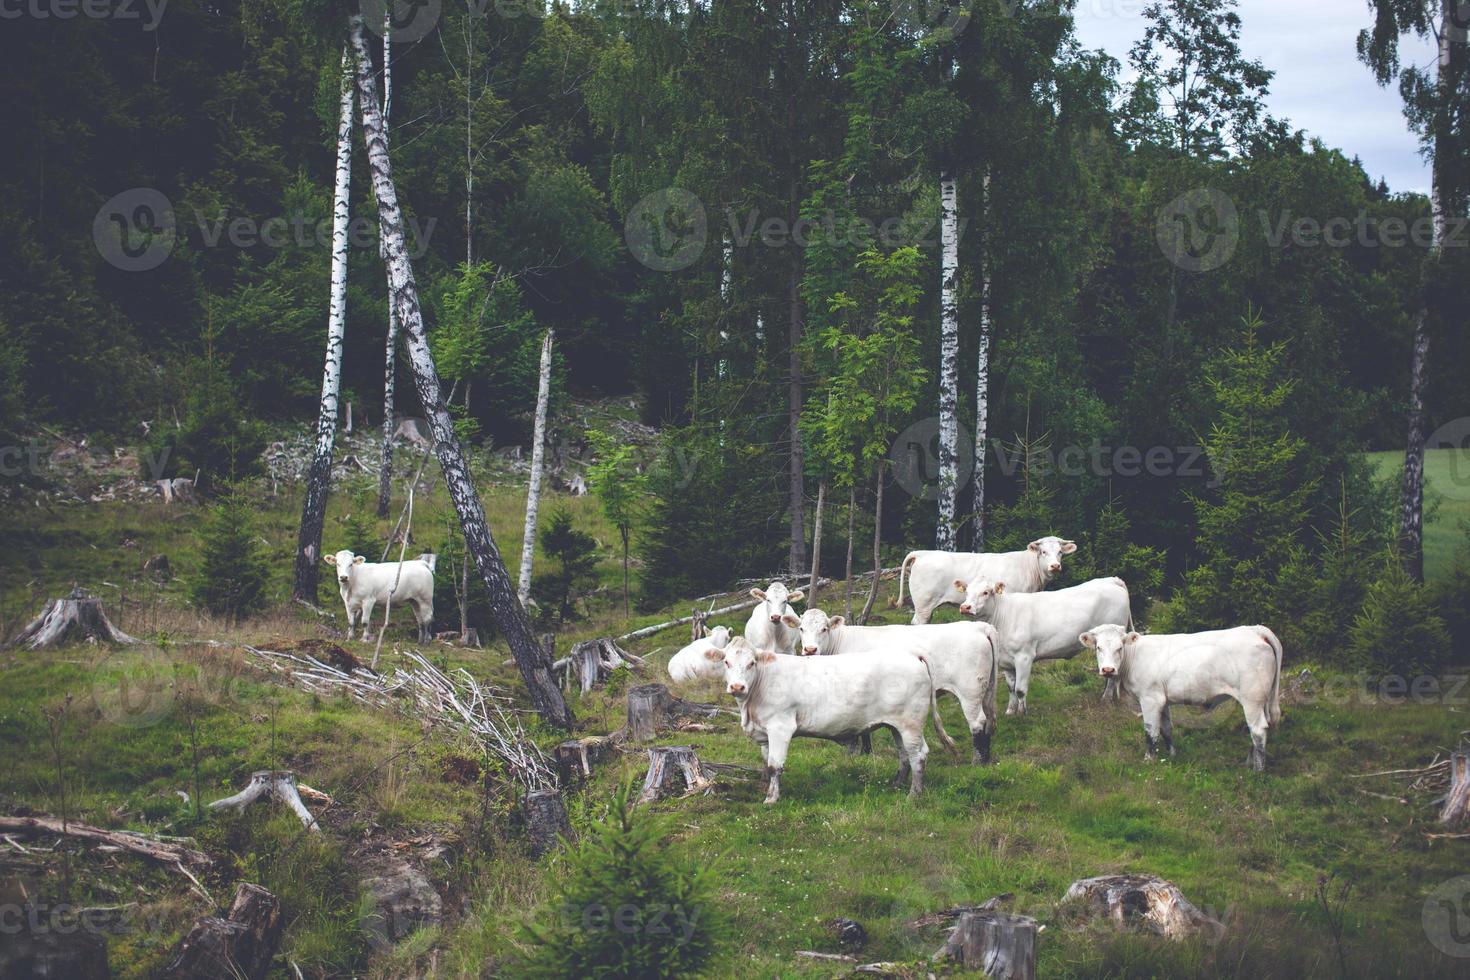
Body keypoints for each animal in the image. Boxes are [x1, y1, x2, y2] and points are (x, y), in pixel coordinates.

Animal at [717, 643, 958, 805]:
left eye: (751, 663)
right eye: (726, 662)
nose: (737, 687)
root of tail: (911, 654)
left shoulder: (780, 727)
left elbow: (775, 765)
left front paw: (771, 798)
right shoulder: (764, 732)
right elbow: (766, 764)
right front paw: (766, 788)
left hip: (911, 723)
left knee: (919, 755)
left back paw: (914, 794)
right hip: (896, 724)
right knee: (904, 754)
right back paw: (897, 784)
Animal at [793, 608, 999, 764]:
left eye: (824, 628)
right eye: (801, 628)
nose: (810, 649)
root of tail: (980, 627)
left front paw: (861, 754)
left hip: (969, 690)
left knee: (977, 722)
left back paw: (977, 761)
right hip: (986, 688)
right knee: (989, 717)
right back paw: (986, 759)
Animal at [958, 578, 1128, 717]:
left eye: (985, 592)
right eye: (966, 591)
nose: (965, 607)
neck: (1002, 618)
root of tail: (1110, 580)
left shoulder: (1024, 657)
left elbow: (1020, 689)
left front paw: (1022, 713)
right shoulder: (1005, 660)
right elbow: (1011, 688)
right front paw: (1010, 711)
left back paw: (1106, 699)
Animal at [1076, 625, 1281, 769]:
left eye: (1120, 648)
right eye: (1098, 648)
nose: (1108, 670)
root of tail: (1254, 629)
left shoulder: (1150, 699)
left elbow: (1151, 732)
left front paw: (1148, 760)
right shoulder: (1162, 699)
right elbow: (1166, 729)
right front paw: (1172, 755)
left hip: (1251, 698)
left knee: (1258, 729)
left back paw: (1257, 770)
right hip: (1261, 699)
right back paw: (1249, 762)